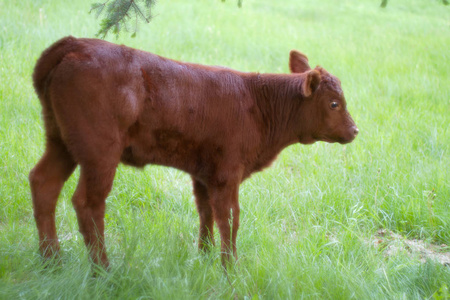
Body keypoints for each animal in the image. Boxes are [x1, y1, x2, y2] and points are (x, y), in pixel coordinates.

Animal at [29, 36, 356, 268]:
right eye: (334, 103)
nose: (354, 131)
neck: (258, 104)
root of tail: (74, 44)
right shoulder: (227, 173)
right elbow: (230, 218)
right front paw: (229, 267)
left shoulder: (204, 174)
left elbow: (206, 212)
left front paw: (204, 257)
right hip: (100, 152)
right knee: (87, 202)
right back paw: (103, 270)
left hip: (60, 142)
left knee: (43, 182)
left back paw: (52, 260)